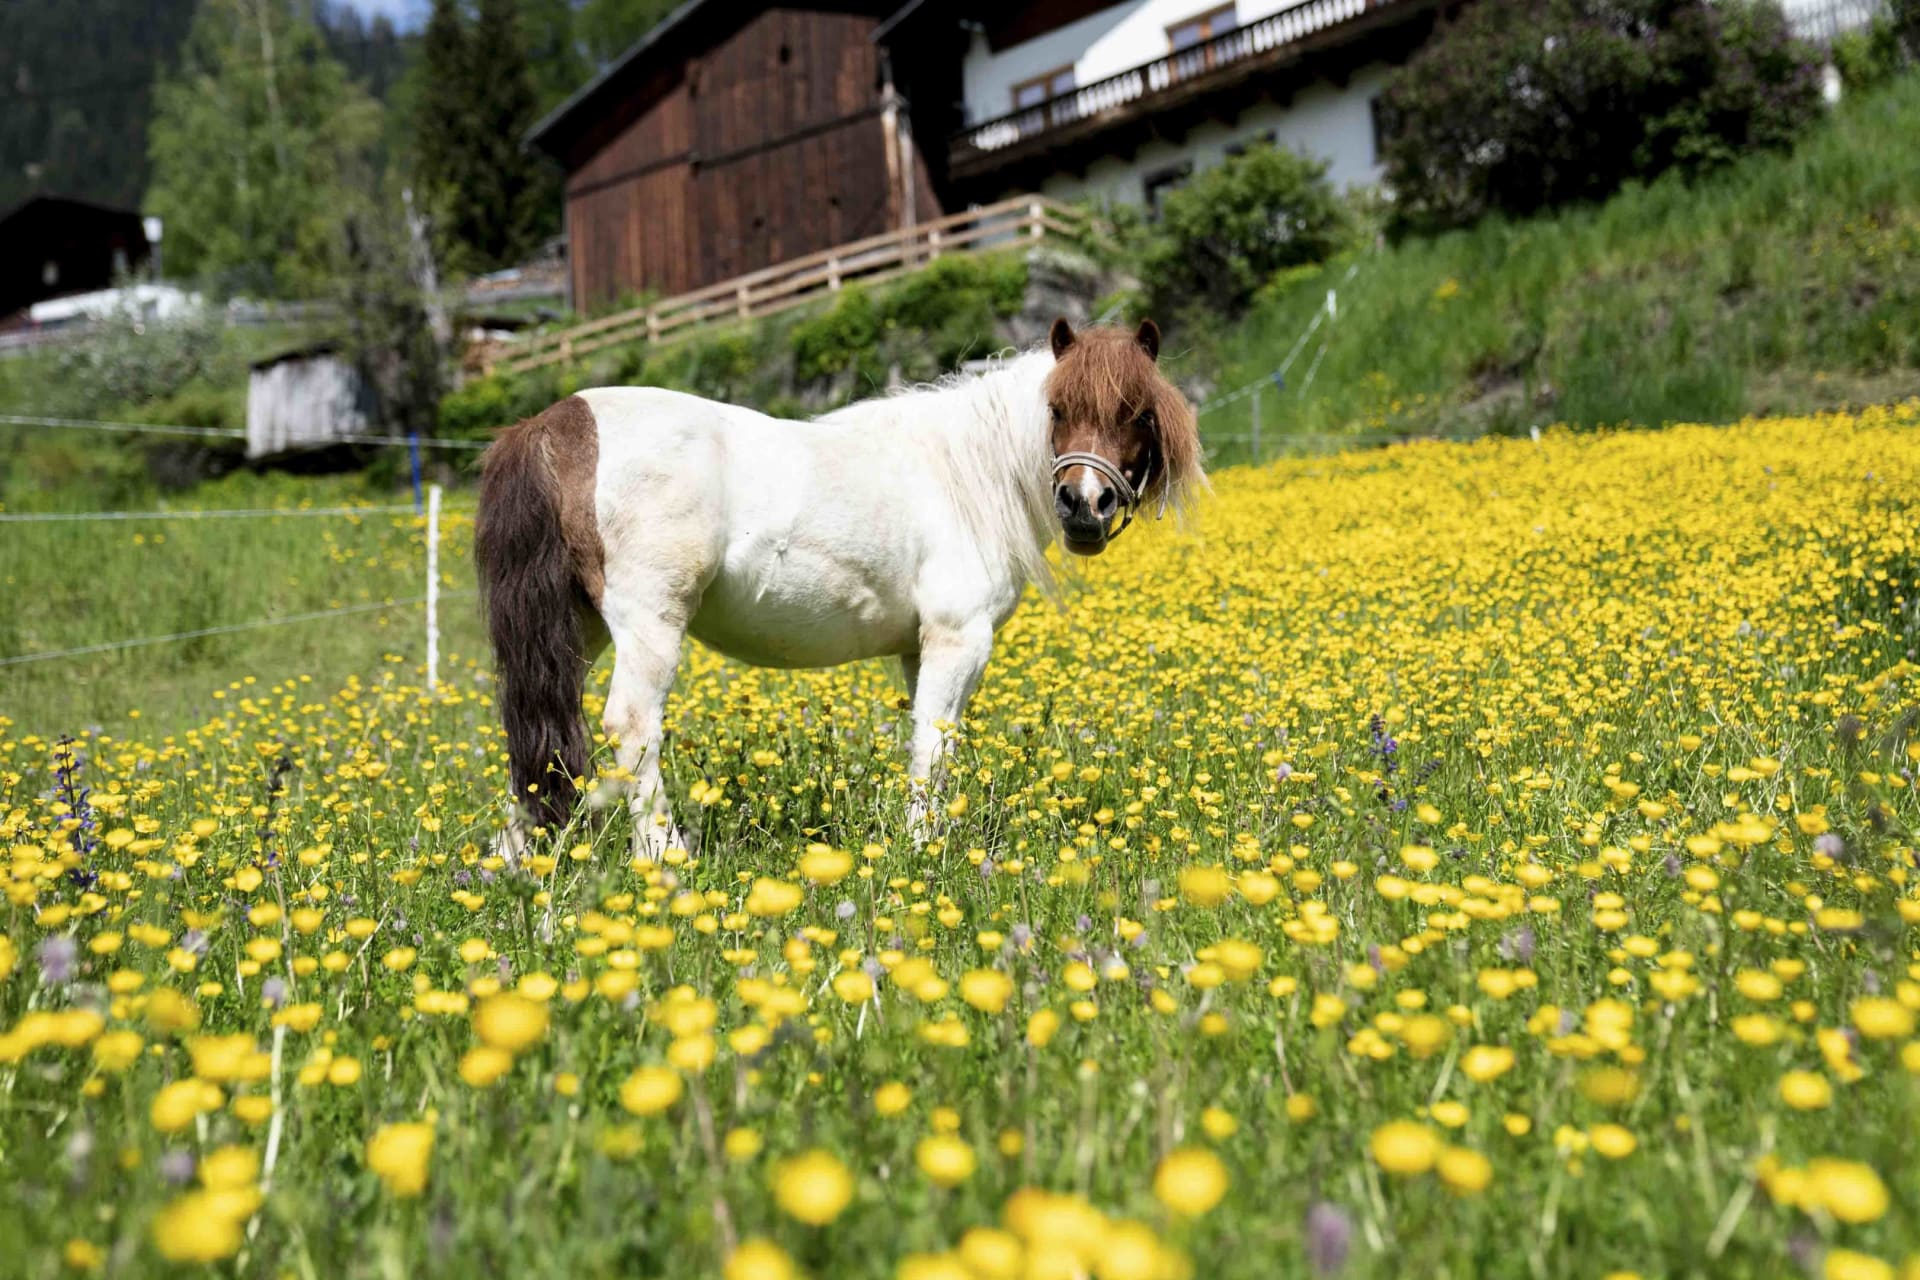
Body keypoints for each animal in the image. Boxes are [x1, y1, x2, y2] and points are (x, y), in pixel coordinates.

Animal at [474, 317, 1205, 859]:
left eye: (1138, 413)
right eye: (1057, 408)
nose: (1084, 506)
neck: (968, 472)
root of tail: (554, 425)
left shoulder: (919, 650)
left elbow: (934, 736)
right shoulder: (958, 638)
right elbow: (933, 740)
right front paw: (923, 846)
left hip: (579, 631)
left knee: (539, 730)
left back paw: (518, 858)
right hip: (649, 621)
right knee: (631, 726)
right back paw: (665, 857)